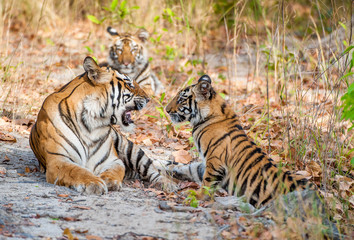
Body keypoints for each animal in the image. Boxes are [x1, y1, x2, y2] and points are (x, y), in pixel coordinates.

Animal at [29, 56, 174, 195]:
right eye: (129, 84)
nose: (149, 98)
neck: (92, 123)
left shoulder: (113, 160)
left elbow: (115, 171)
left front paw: (108, 181)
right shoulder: (58, 160)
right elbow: (77, 170)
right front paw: (94, 183)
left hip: (130, 148)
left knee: (152, 170)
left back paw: (167, 185)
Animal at [165, 75, 314, 208]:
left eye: (181, 99)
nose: (166, 110)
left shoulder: (215, 161)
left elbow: (206, 182)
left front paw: (196, 196)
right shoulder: (207, 162)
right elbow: (189, 167)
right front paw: (167, 165)